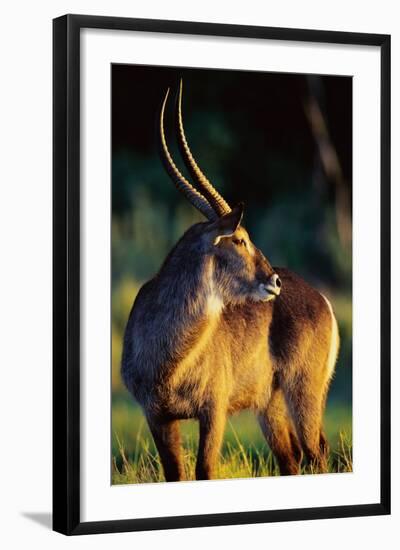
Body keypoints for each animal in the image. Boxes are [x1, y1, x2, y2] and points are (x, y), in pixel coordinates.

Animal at [120, 82, 340, 484]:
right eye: (238, 239)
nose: (273, 280)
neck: (170, 359)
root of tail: (319, 296)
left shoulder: (214, 409)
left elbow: (205, 471)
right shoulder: (156, 416)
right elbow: (175, 474)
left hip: (305, 390)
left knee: (316, 452)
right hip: (269, 403)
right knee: (291, 458)